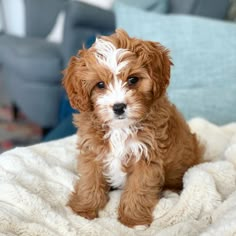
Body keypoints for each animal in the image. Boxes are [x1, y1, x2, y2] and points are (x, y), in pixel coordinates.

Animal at [62, 28, 203, 228]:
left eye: (133, 79)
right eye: (100, 85)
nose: (119, 107)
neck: (120, 128)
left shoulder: (146, 157)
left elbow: (138, 189)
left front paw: (132, 220)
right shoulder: (93, 151)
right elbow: (89, 181)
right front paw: (84, 209)